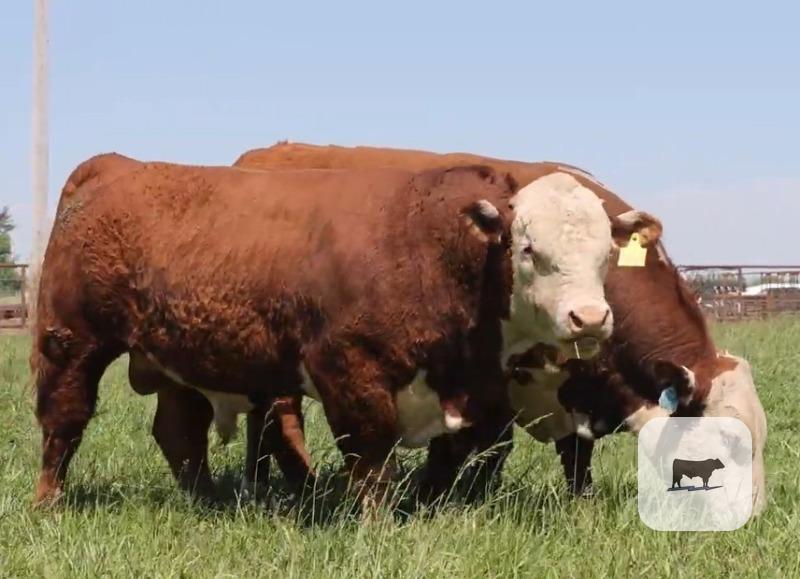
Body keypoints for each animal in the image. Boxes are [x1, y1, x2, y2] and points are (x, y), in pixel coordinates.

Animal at [33, 157, 639, 510]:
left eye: (607, 252)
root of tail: (114, 165)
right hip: (70, 341)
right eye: (529, 248)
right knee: (63, 423)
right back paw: (49, 503)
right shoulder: (350, 368)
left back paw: (206, 500)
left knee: (179, 432)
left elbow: (452, 452)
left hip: (179, 359)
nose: (590, 318)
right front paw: (376, 524)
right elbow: (371, 455)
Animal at [228, 142, 766, 515]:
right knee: (278, 421)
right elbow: (481, 444)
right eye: (729, 443)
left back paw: (264, 485)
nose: (755, 514)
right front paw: (436, 498)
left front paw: (581, 502)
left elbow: (575, 452)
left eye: (761, 439)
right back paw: (297, 486)